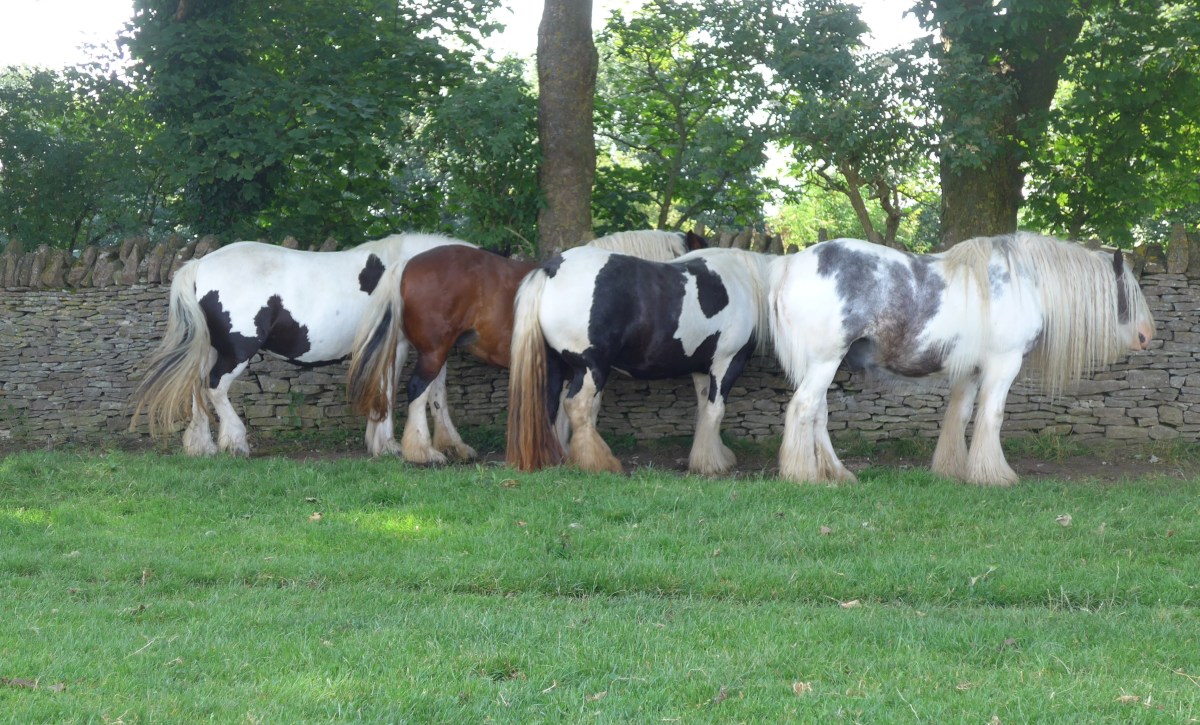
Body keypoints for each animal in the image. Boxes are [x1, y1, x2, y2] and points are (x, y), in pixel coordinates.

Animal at [129, 232, 474, 456]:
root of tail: (199, 265)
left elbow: (434, 394)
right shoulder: (396, 345)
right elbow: (389, 390)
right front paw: (389, 445)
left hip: (212, 348)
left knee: (197, 389)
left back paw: (202, 446)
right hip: (238, 351)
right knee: (214, 387)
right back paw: (236, 442)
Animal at [346, 230, 707, 463]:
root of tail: (407, 264)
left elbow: (562, 409)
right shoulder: (589, 366)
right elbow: (580, 409)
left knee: (430, 394)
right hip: (434, 352)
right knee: (416, 391)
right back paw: (423, 453)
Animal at [505, 246, 774, 476]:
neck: (742, 281)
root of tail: (551, 269)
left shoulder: (701, 369)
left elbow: (704, 411)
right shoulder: (726, 362)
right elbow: (716, 410)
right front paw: (712, 464)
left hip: (556, 367)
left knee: (549, 407)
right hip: (590, 369)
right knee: (576, 407)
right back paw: (599, 463)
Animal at [768, 232, 1156, 486]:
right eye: (1129, 291)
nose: (1146, 335)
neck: (1026, 284)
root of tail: (789, 265)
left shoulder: (969, 370)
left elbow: (961, 415)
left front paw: (954, 469)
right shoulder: (1004, 365)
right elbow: (992, 417)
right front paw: (995, 474)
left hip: (820, 365)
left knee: (817, 414)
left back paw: (838, 473)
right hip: (824, 362)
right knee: (803, 408)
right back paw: (803, 475)